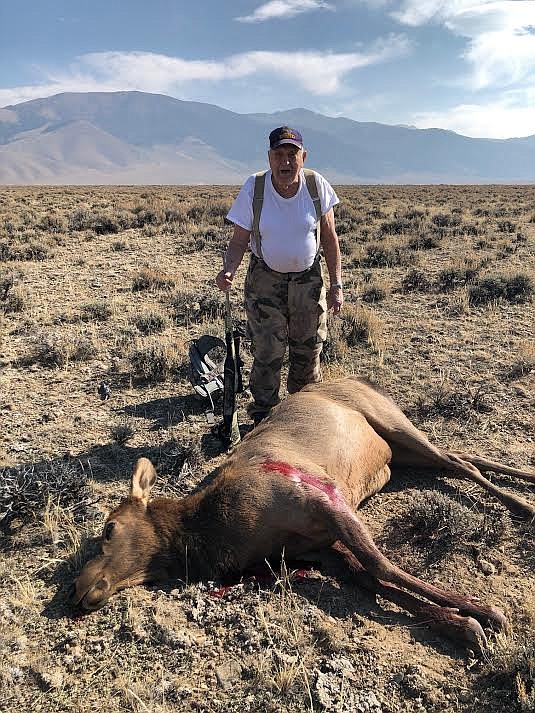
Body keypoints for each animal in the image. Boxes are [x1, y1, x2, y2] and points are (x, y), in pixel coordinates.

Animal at [72, 378, 535, 644]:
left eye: (109, 528)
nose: (78, 589)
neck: (218, 534)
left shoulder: (322, 497)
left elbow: (382, 567)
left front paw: (484, 613)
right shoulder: (316, 549)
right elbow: (371, 580)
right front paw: (457, 623)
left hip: (392, 421)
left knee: (458, 461)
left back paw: (522, 504)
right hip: (401, 454)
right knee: (462, 457)